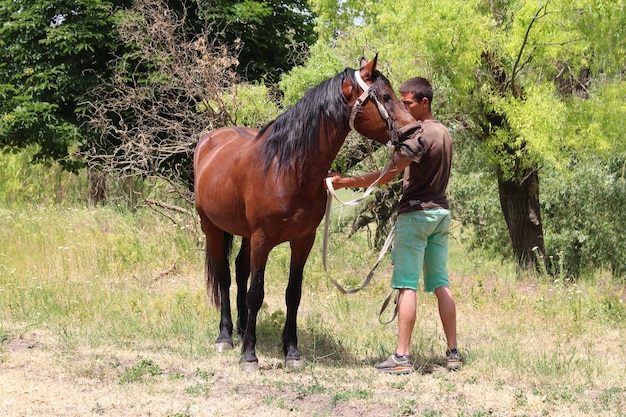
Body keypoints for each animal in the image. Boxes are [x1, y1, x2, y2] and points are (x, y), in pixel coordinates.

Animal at [190, 55, 424, 370]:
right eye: (386, 96)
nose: (417, 140)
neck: (287, 168)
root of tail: (210, 140)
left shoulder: (303, 240)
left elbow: (293, 293)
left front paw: (292, 351)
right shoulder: (263, 240)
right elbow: (256, 293)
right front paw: (250, 354)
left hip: (245, 234)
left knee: (239, 270)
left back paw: (241, 328)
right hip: (212, 228)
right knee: (225, 276)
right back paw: (226, 336)